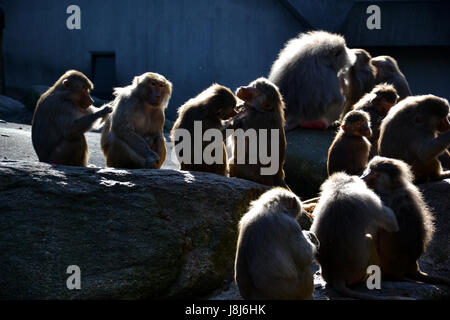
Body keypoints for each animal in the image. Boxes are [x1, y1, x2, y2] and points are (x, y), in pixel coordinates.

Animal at [310, 172, 400, 300]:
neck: (339, 189)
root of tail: (337, 274)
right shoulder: (368, 198)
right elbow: (392, 223)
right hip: (358, 274)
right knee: (369, 238)